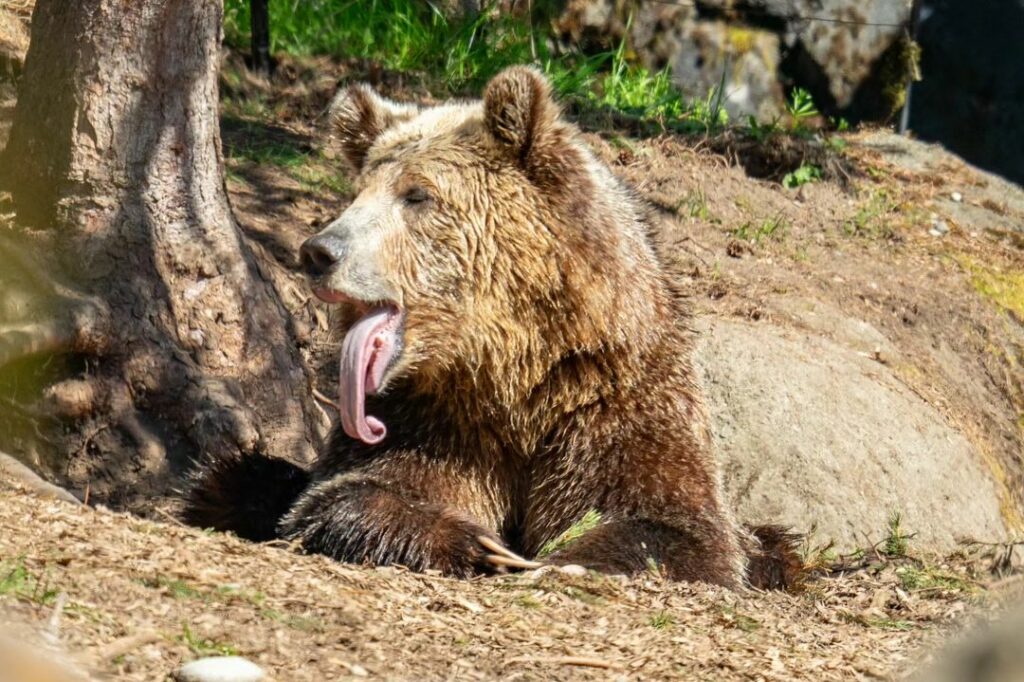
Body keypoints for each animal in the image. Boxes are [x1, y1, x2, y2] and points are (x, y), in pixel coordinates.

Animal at [186, 65, 798, 589]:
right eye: (358, 193)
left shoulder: (620, 398)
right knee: (236, 475)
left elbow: (673, 527)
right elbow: (360, 490)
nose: (320, 250)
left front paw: (564, 556)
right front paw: (480, 545)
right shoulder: (433, 417)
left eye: (416, 195)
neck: (514, 370)